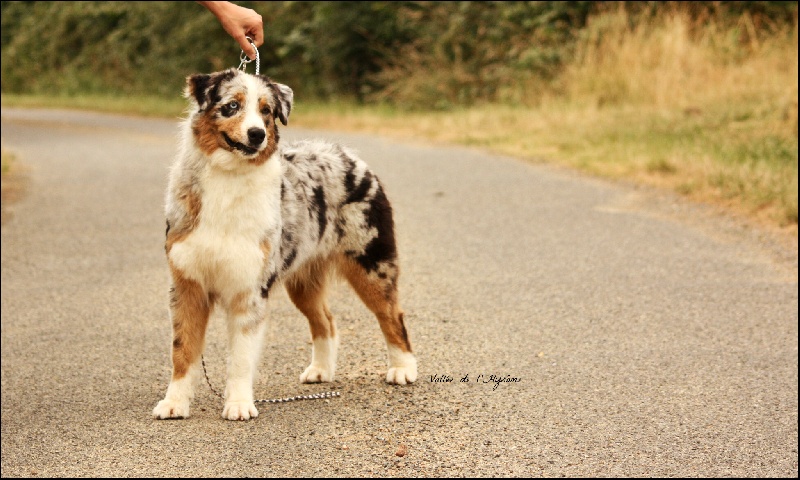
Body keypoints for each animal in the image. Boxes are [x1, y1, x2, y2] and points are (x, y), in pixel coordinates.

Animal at [152, 67, 418, 420]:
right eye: (232, 106)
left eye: (266, 111)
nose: (256, 135)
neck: (228, 176)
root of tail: (346, 155)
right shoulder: (187, 286)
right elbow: (182, 350)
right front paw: (175, 403)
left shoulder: (250, 289)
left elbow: (241, 358)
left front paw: (239, 404)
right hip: (303, 282)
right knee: (326, 321)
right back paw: (321, 370)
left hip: (372, 264)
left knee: (392, 314)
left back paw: (403, 369)